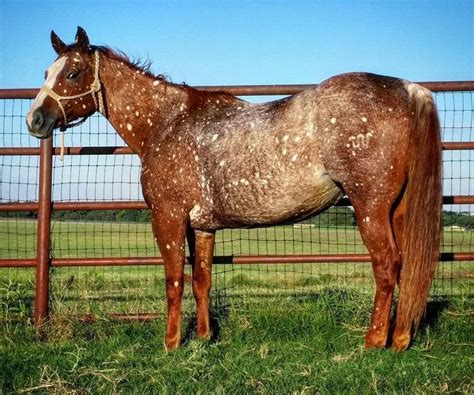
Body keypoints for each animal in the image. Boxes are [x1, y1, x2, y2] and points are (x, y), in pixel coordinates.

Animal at [25, 26, 440, 352]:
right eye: (46, 71)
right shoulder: (203, 226)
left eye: (73, 73)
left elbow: (174, 281)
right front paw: (204, 338)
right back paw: (400, 339)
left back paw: (374, 342)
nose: (35, 120)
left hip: (369, 207)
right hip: (397, 210)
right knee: (407, 267)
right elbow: (201, 281)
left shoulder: (168, 218)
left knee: (387, 266)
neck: (166, 123)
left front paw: (171, 344)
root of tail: (409, 89)